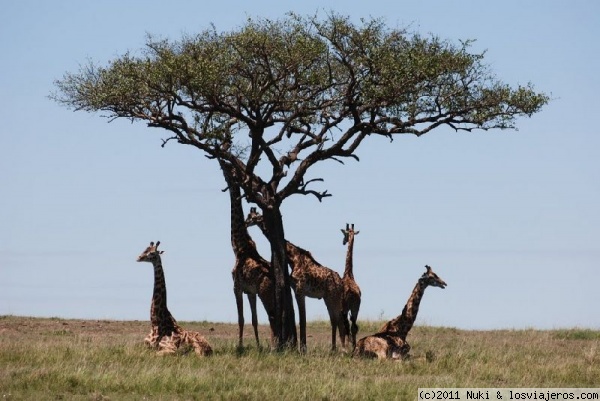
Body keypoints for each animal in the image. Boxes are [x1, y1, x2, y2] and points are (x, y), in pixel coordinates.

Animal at [220, 159, 276, 346]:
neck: (238, 246)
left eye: (229, 169)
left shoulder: (236, 287)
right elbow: (254, 319)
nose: (222, 161)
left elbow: (241, 319)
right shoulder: (250, 291)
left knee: (273, 317)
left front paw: (240, 346)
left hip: (266, 293)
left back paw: (275, 346)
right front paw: (258, 345)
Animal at [245, 208, 346, 352]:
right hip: (328, 297)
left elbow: (302, 319)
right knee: (334, 320)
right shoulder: (295, 290)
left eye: (253, 217)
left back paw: (343, 350)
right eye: (249, 216)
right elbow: (300, 318)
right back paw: (333, 349)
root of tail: (341, 283)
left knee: (339, 320)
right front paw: (302, 347)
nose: (245, 223)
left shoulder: (300, 289)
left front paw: (302, 349)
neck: (292, 258)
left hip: (334, 296)